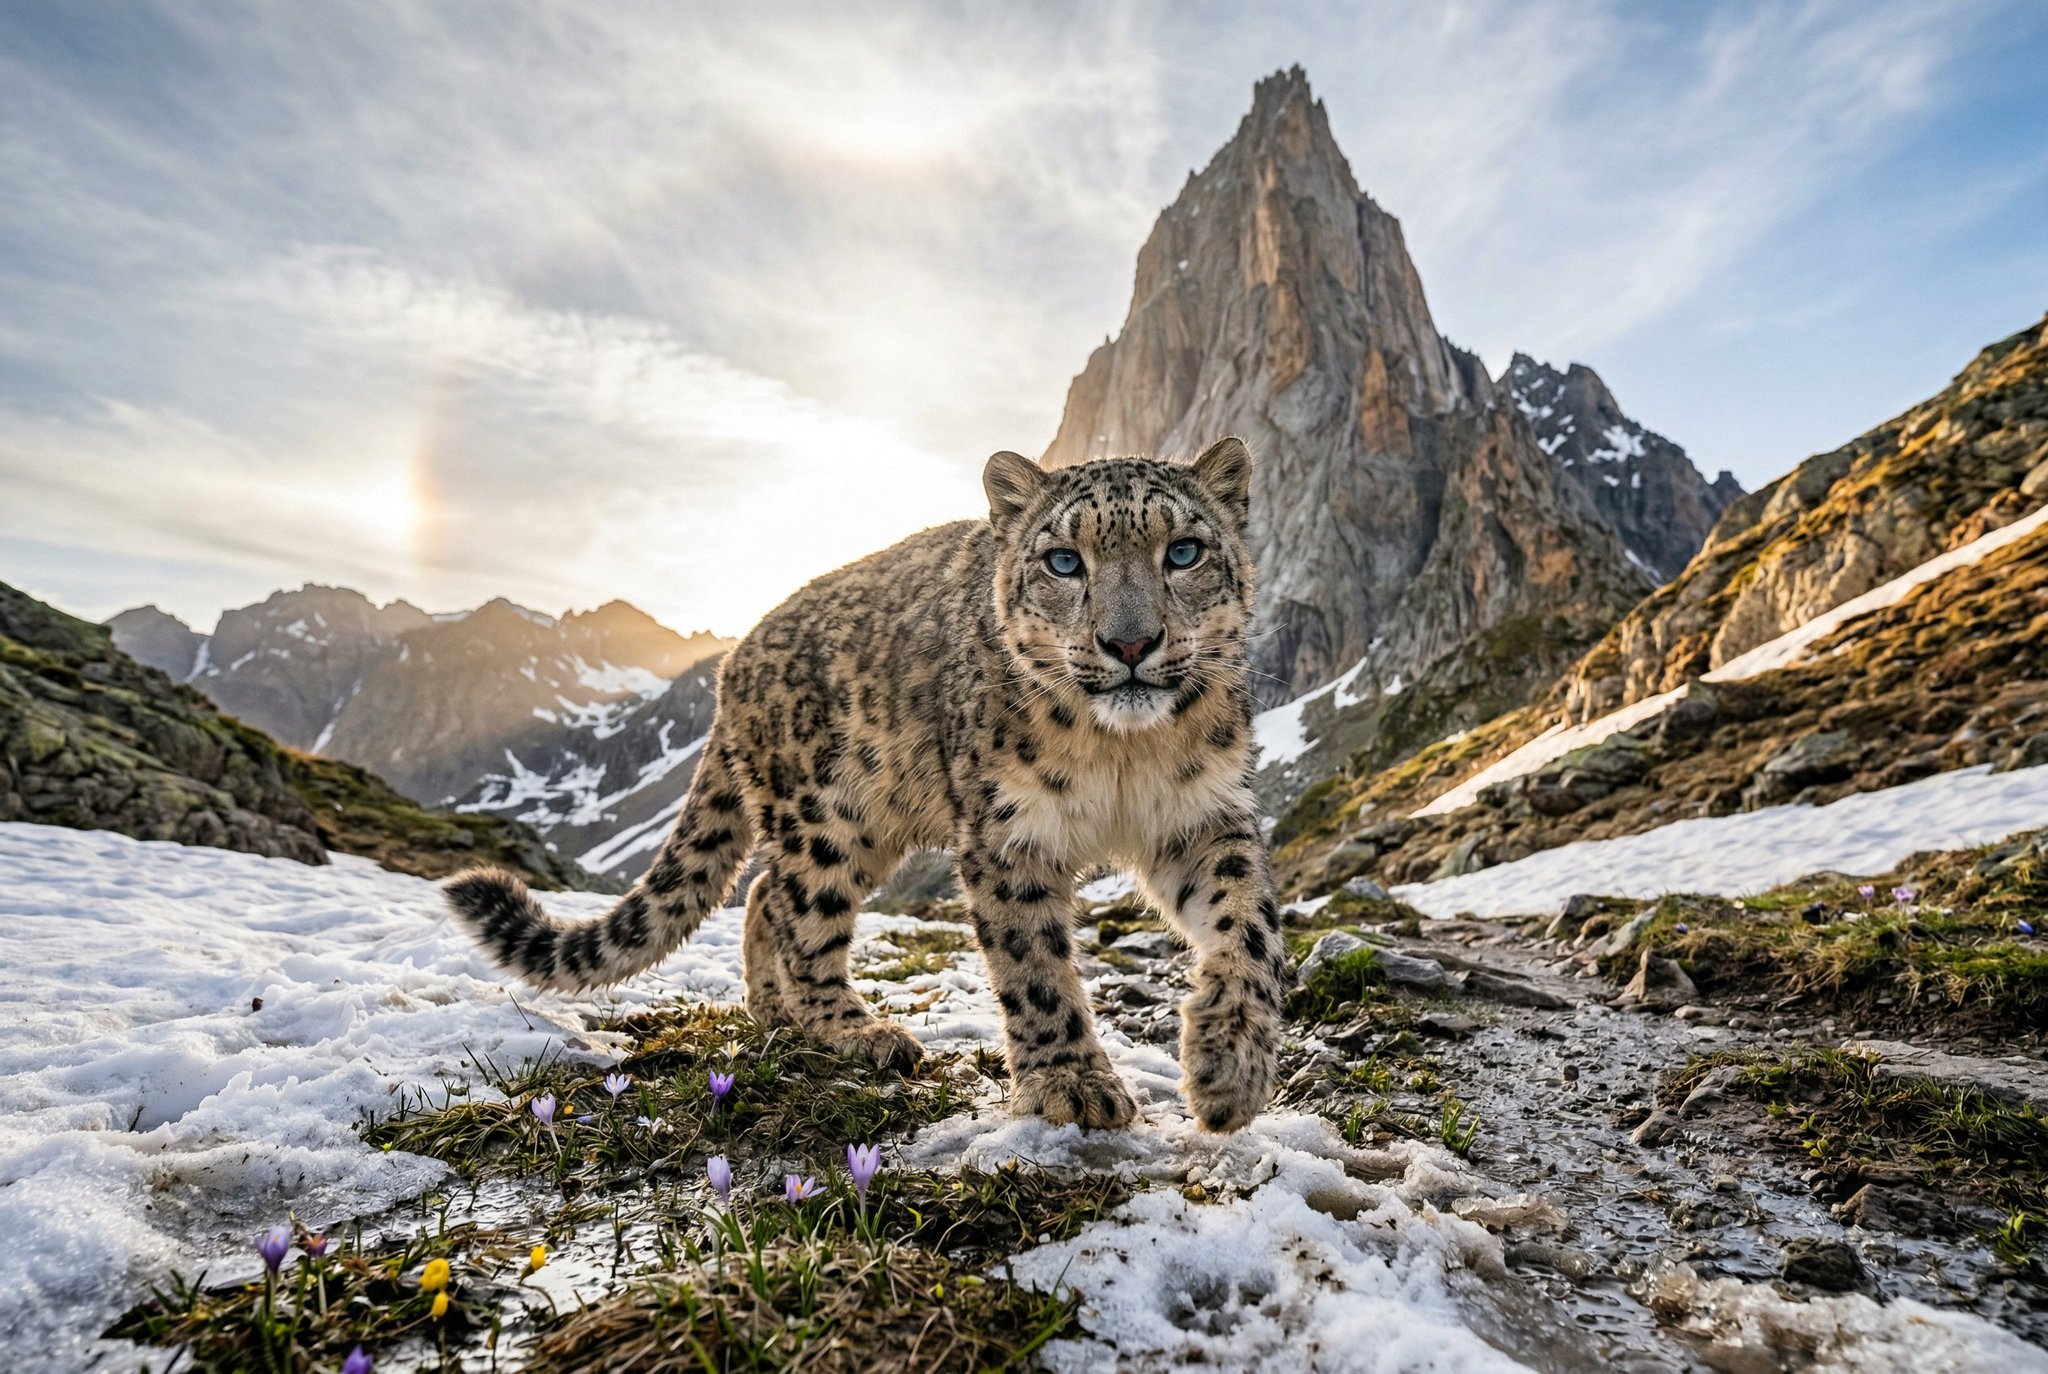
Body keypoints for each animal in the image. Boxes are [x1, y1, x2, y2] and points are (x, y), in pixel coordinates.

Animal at [444, 437, 1286, 1132]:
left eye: (1184, 551)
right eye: (1063, 562)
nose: (1131, 643)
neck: (1123, 757)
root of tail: (731, 666)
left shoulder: (1204, 816)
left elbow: (1250, 929)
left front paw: (1229, 1069)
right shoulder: (1007, 834)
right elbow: (1034, 965)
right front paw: (1071, 1084)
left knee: (763, 894)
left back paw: (774, 1013)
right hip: (827, 816)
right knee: (798, 913)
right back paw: (857, 1031)